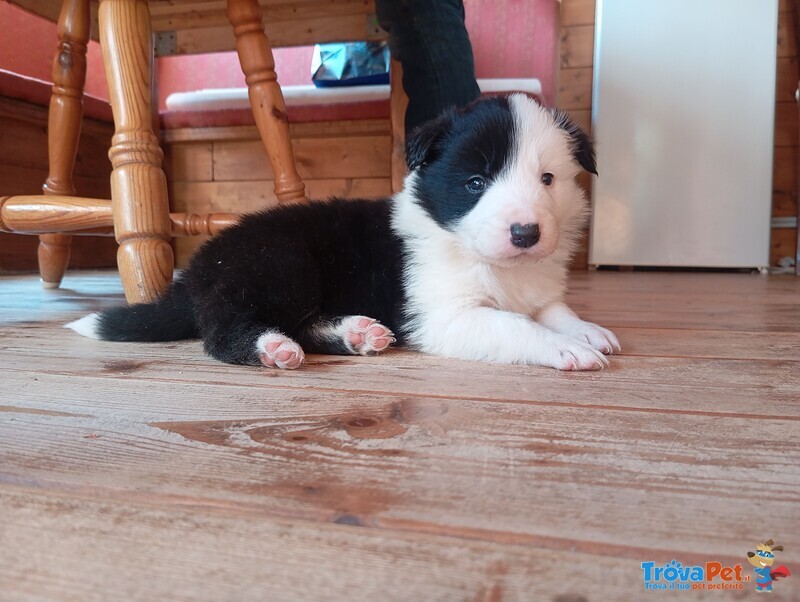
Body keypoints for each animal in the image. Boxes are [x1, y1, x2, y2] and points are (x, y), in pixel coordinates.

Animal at [67, 93, 620, 368]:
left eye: (547, 179)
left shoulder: (535, 289)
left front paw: (588, 331)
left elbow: (554, 310)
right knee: (223, 332)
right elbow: (514, 325)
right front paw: (565, 349)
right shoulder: (444, 315)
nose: (526, 233)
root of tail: (200, 267)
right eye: (475, 183)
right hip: (280, 264)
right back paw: (269, 348)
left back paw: (356, 334)